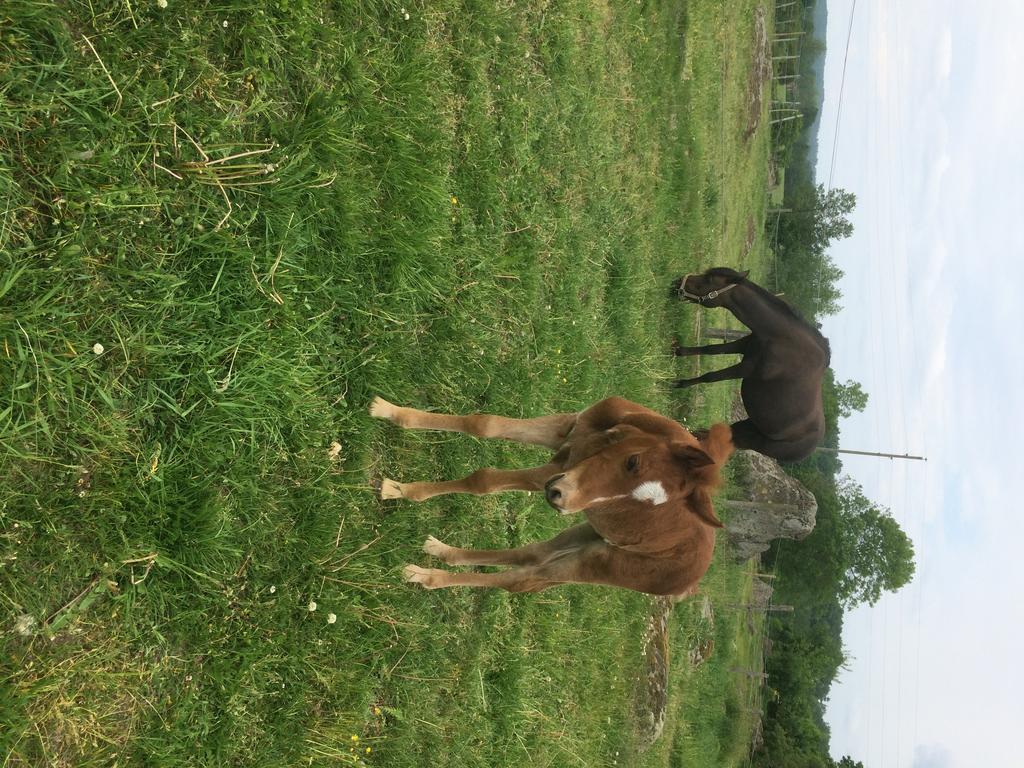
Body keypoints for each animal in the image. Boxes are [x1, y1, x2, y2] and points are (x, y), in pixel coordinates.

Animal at [372, 397, 733, 593]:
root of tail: (694, 579)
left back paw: (425, 575)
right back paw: (441, 551)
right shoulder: (568, 433)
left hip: (596, 563)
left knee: (520, 581)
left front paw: (402, 490)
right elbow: (484, 424)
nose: (561, 499)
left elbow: (485, 481)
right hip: (586, 532)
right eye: (633, 462)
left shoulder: (560, 468)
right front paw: (388, 411)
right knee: (531, 554)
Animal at [671, 268, 831, 462]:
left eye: (709, 279)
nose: (678, 282)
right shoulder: (743, 345)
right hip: (748, 426)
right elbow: (710, 349)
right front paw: (678, 351)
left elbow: (710, 377)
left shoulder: (747, 368)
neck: (782, 339)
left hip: (750, 440)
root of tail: (809, 449)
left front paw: (679, 383)